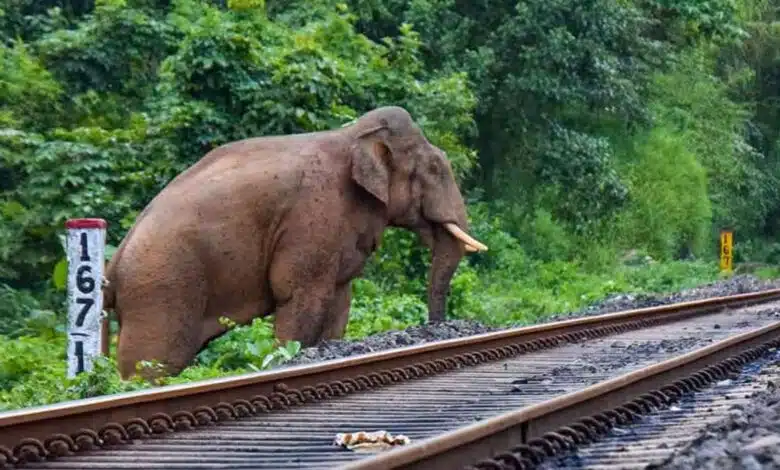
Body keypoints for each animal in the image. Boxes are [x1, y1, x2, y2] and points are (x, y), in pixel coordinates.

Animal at [101, 106, 488, 380]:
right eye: (435, 169)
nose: (437, 328)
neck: (351, 136)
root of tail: (113, 264)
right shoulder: (312, 216)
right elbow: (301, 295)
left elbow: (339, 299)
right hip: (161, 290)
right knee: (153, 365)